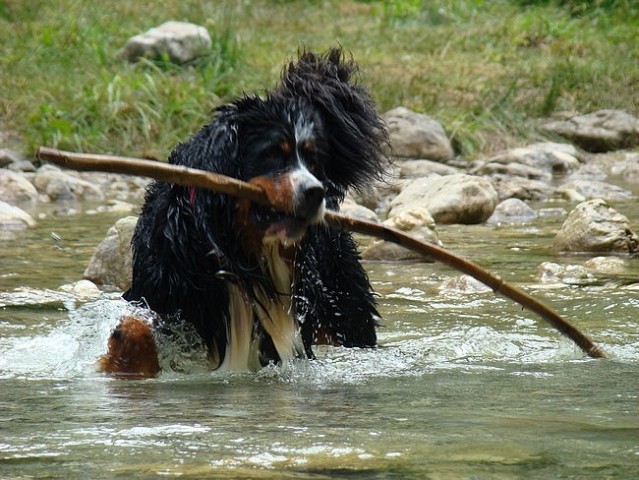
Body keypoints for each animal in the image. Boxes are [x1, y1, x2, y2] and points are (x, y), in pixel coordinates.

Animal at [100, 47, 390, 378]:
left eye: (313, 162)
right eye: (273, 153)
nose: (316, 192)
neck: (233, 246)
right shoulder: (159, 293)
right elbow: (136, 330)